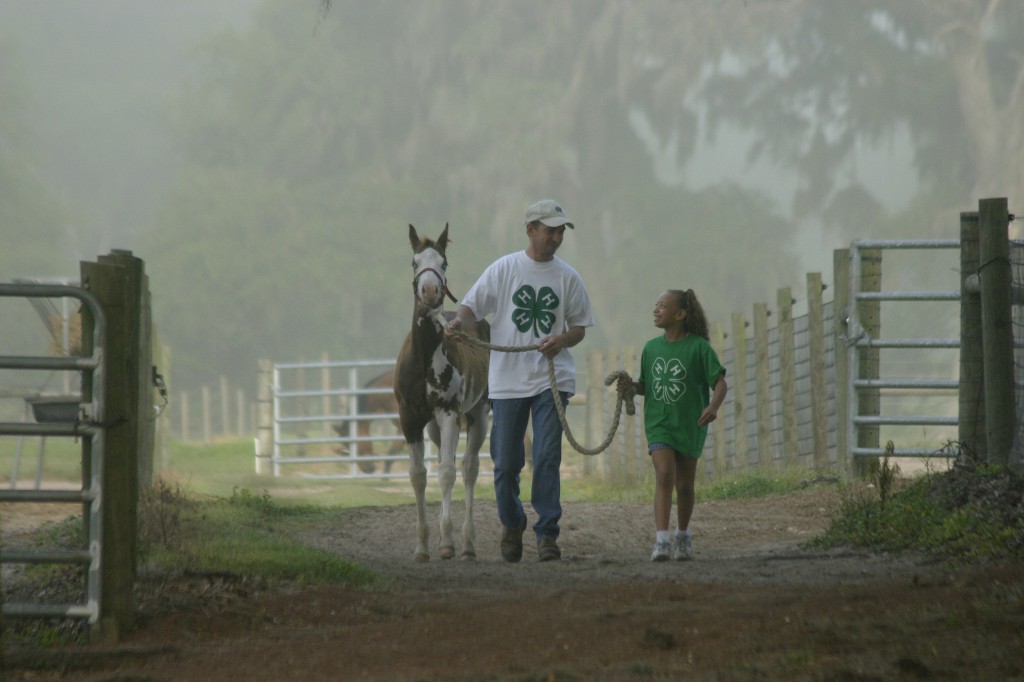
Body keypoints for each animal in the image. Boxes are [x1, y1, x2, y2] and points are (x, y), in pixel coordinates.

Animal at [393, 222, 489, 557]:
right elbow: (418, 476)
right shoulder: (410, 419)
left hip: (477, 416)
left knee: (469, 469)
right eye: (414, 262)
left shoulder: (449, 415)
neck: (424, 359)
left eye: (443, 262)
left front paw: (447, 542)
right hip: (433, 426)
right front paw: (422, 545)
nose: (430, 292)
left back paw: (468, 543)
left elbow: (448, 473)